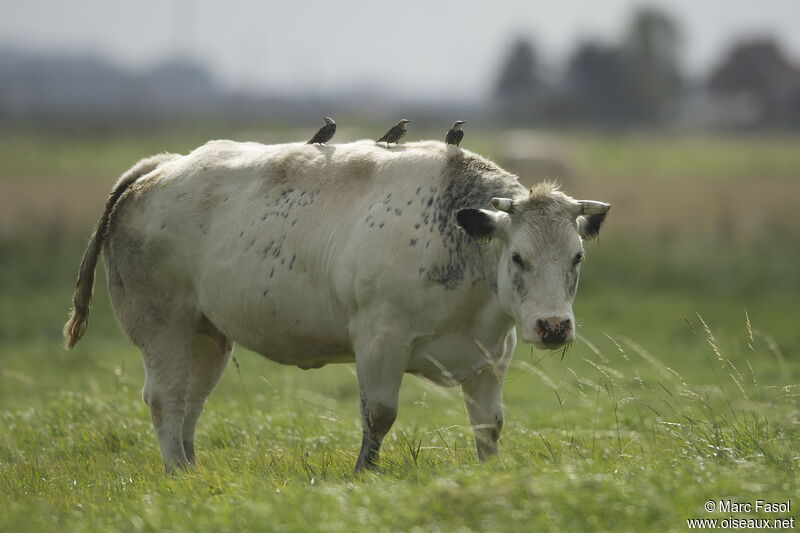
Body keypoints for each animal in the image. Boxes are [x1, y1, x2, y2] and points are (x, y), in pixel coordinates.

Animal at [64, 139, 612, 472]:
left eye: (577, 256)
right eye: (518, 256)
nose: (553, 326)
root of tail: (161, 165)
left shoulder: (491, 356)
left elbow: (489, 425)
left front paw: (489, 474)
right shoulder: (379, 341)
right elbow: (379, 416)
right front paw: (364, 473)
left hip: (207, 335)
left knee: (189, 402)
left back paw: (191, 469)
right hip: (163, 328)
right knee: (164, 399)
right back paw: (177, 473)